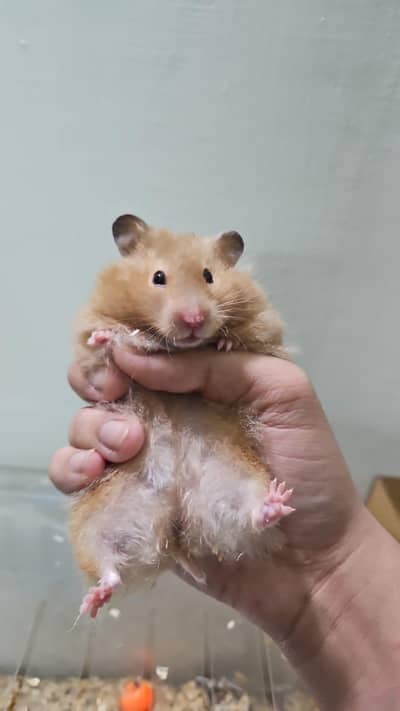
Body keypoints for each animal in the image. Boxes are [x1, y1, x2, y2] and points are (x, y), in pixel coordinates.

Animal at [69, 214, 295, 618]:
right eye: (158, 277)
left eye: (209, 276)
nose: (193, 319)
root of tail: (176, 528)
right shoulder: (91, 343)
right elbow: (109, 343)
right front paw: (108, 336)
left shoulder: (267, 328)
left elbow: (251, 337)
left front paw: (225, 342)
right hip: (96, 525)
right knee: (110, 569)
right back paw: (94, 601)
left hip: (235, 482)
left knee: (251, 517)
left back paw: (276, 502)